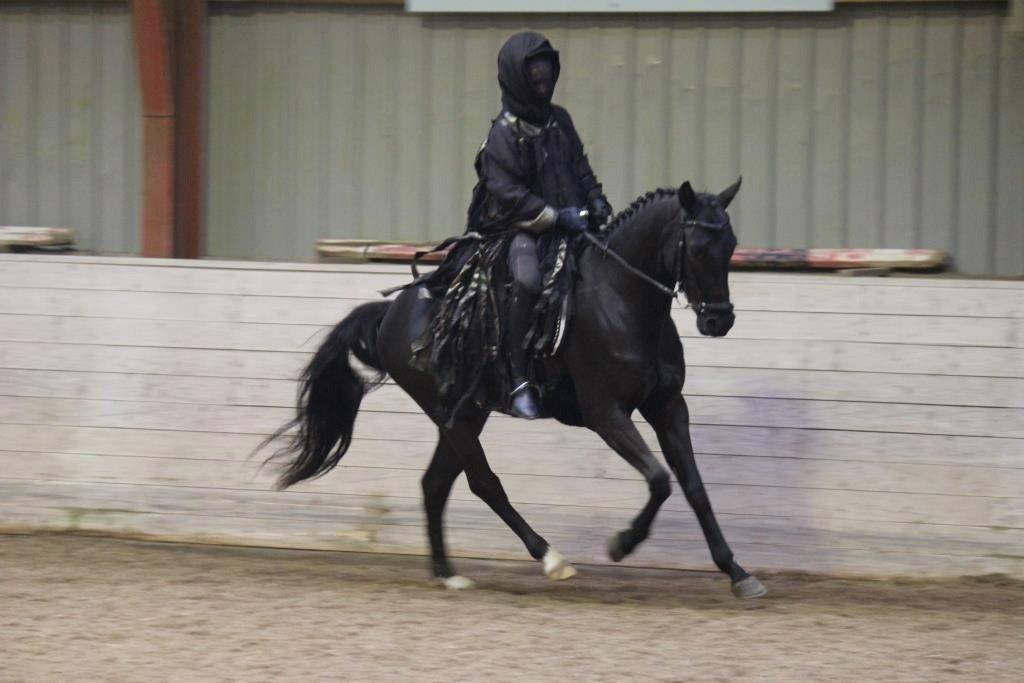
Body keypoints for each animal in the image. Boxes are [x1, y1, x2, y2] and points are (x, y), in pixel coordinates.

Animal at [265, 178, 767, 599]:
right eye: (697, 248)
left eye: (731, 246)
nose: (719, 320)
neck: (622, 300)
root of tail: (391, 311)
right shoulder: (606, 414)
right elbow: (660, 480)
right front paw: (622, 544)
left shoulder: (668, 407)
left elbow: (694, 486)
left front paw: (737, 573)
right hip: (451, 415)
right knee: (483, 483)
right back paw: (550, 559)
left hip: (466, 414)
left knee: (434, 484)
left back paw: (448, 574)